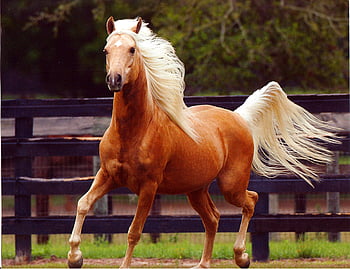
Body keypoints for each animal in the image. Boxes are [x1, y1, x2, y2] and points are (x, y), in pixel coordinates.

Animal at [68, 17, 340, 268]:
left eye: (132, 49)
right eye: (106, 50)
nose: (114, 79)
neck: (134, 131)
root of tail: (239, 117)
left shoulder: (148, 187)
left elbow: (134, 232)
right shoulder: (108, 175)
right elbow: (83, 204)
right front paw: (74, 257)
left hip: (231, 185)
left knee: (250, 200)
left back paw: (241, 256)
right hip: (196, 190)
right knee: (213, 218)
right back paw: (204, 263)